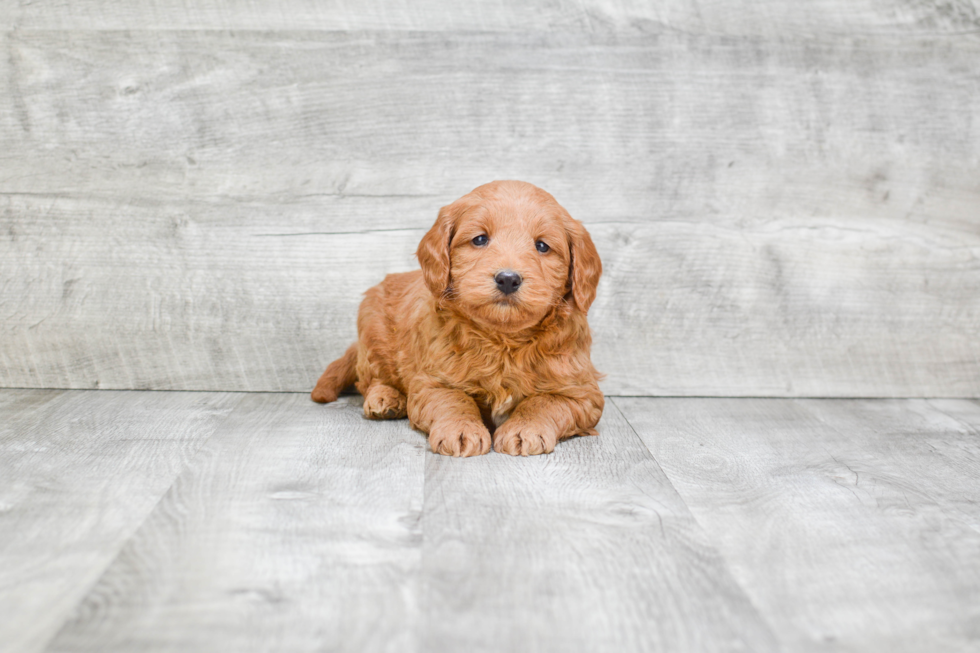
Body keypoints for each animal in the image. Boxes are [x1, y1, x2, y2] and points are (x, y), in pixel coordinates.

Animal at [314, 176, 604, 456]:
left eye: (542, 246)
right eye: (480, 239)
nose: (508, 279)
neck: (503, 340)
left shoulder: (582, 392)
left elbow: (544, 401)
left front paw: (525, 429)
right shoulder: (432, 381)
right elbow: (454, 400)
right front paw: (461, 430)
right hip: (373, 331)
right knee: (371, 379)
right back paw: (385, 399)